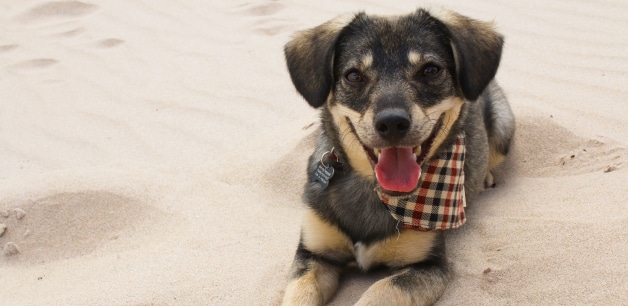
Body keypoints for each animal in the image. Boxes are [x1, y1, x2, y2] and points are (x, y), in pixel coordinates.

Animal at [282, 7, 512, 306]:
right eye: (353, 75)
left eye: (430, 70)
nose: (392, 123)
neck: (377, 193)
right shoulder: (313, 255)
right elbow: (299, 293)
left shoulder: (427, 266)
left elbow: (380, 290)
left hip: (503, 129)